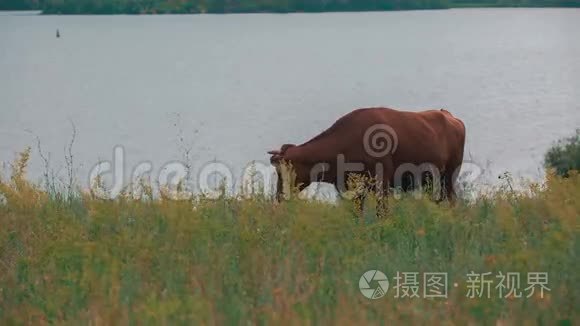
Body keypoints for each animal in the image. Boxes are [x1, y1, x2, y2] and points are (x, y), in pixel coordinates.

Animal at [268, 106, 466, 214]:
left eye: (284, 170)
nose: (279, 197)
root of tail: (447, 115)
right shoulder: (350, 188)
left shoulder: (381, 183)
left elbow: (381, 212)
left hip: (450, 176)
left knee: (452, 200)